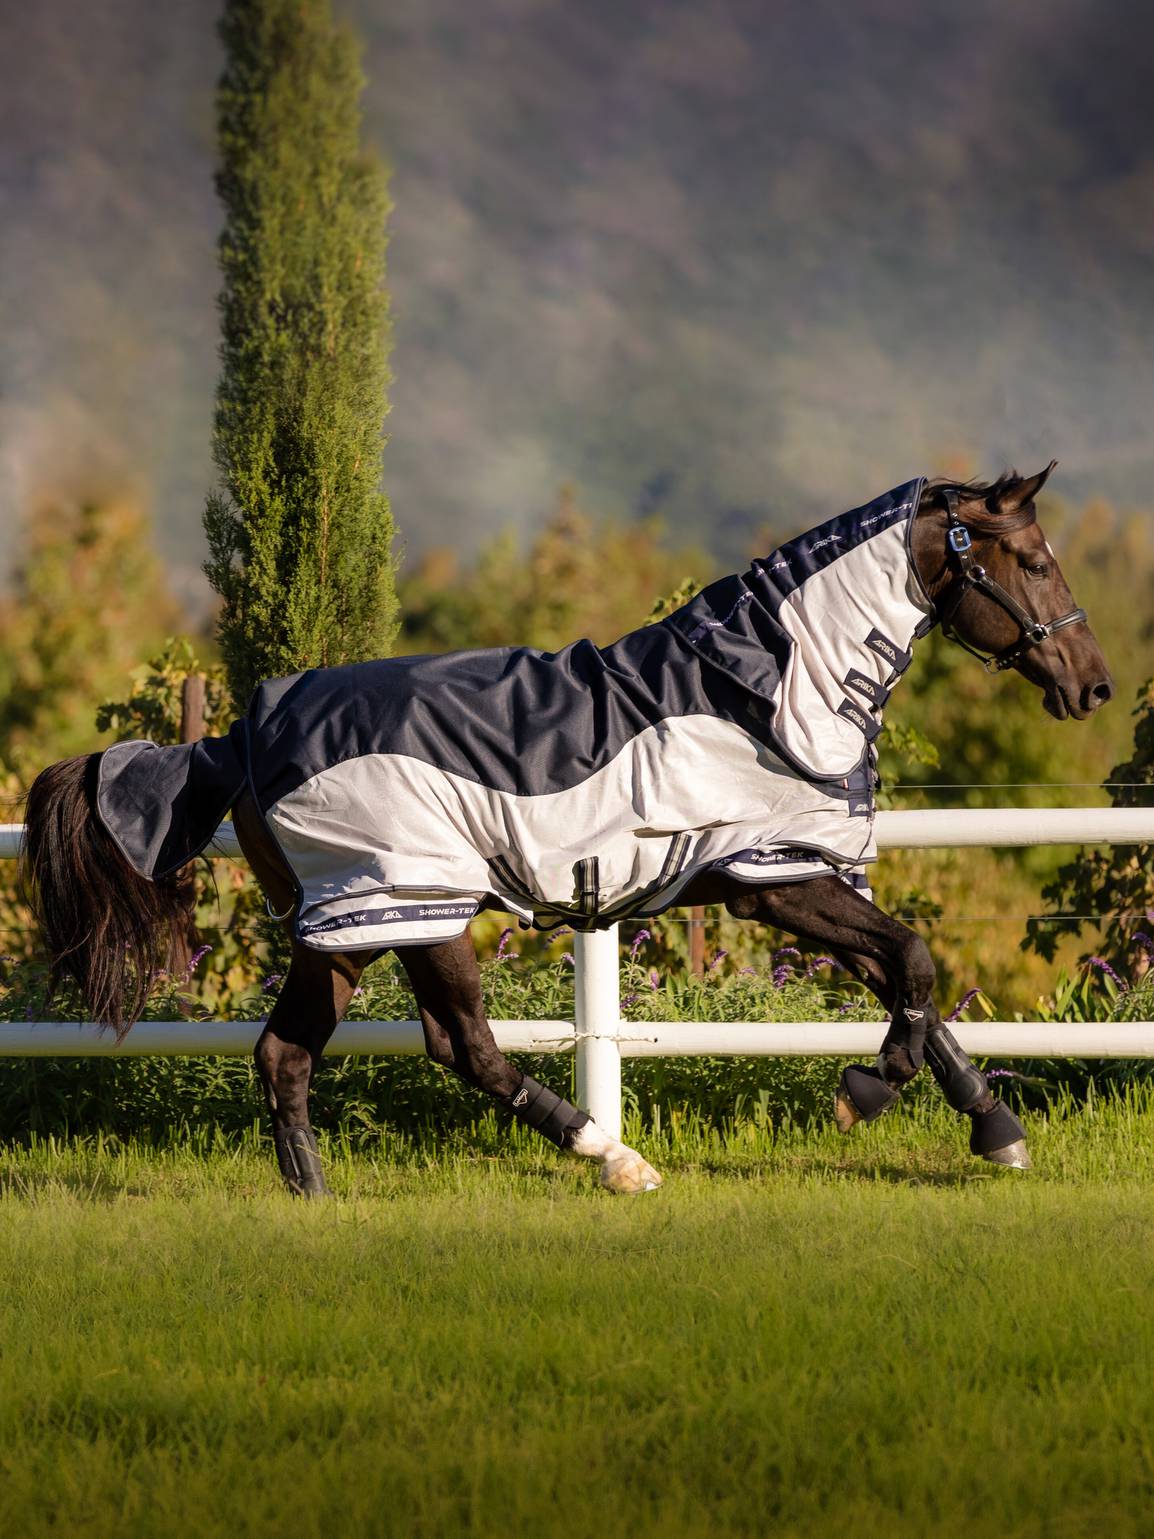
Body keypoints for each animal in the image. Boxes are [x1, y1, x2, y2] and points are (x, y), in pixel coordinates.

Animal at [22, 461, 1113, 1194]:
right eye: (1029, 558)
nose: (1091, 683)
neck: (768, 686)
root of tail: (242, 732)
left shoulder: (795, 878)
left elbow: (911, 986)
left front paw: (996, 1130)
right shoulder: (775, 879)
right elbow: (915, 968)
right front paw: (867, 1092)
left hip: (347, 926)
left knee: (285, 1054)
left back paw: (317, 1200)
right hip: (412, 907)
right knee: (462, 1045)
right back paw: (614, 1158)